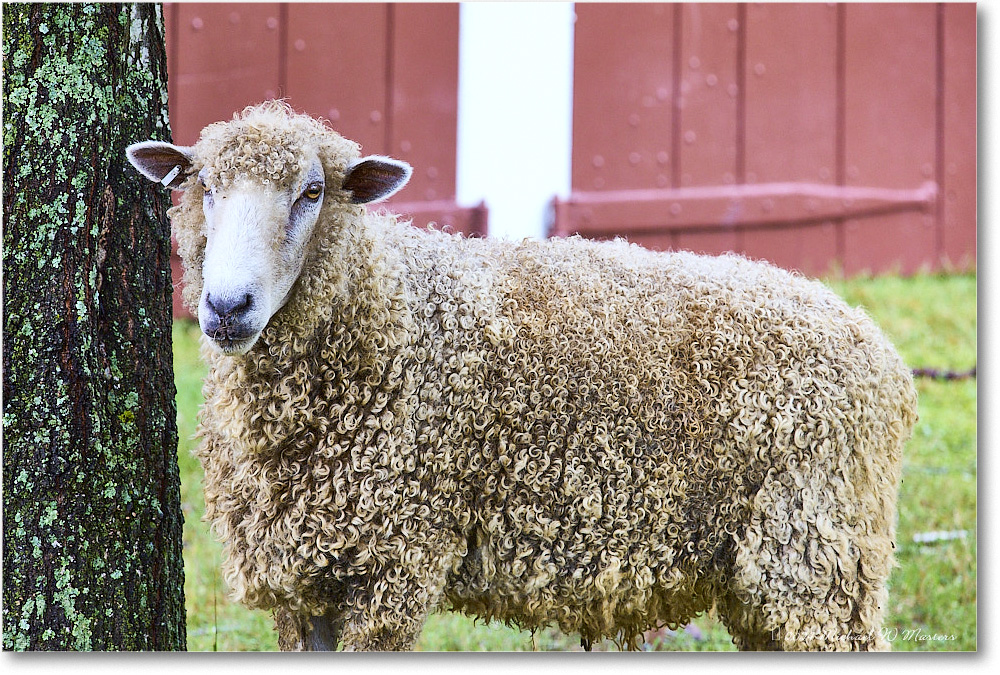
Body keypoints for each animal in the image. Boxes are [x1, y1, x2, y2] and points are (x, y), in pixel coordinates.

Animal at [129, 101, 916, 656]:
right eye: (204, 184)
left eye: (314, 191)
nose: (227, 306)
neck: (390, 314)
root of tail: (883, 352)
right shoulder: (307, 578)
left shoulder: (394, 561)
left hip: (819, 555)